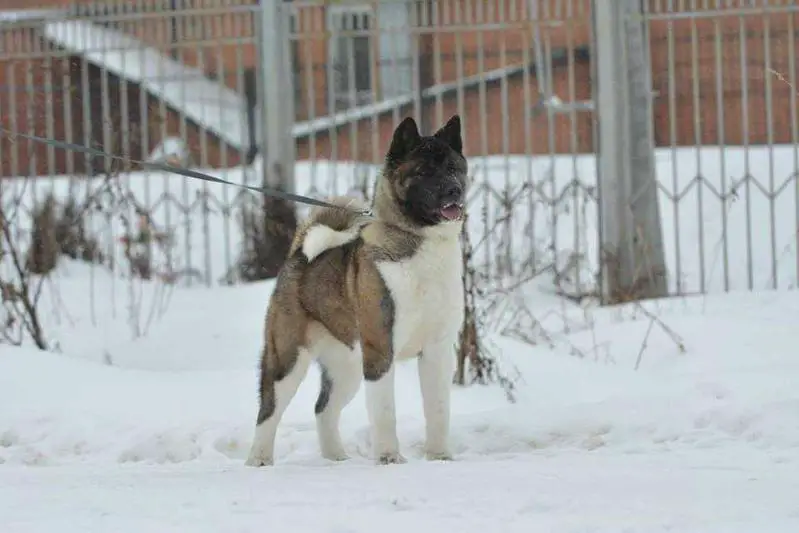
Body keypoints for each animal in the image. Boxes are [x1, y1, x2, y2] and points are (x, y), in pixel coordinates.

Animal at [245, 114, 468, 464]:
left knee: (322, 409)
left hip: (346, 366)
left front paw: (440, 456)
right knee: (268, 411)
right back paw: (259, 459)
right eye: (422, 172)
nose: (454, 190)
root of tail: (298, 256)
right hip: (287, 359)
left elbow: (438, 409)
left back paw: (336, 458)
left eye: (453, 167)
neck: (420, 246)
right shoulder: (380, 349)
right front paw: (389, 458)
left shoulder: (438, 350)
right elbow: (385, 410)